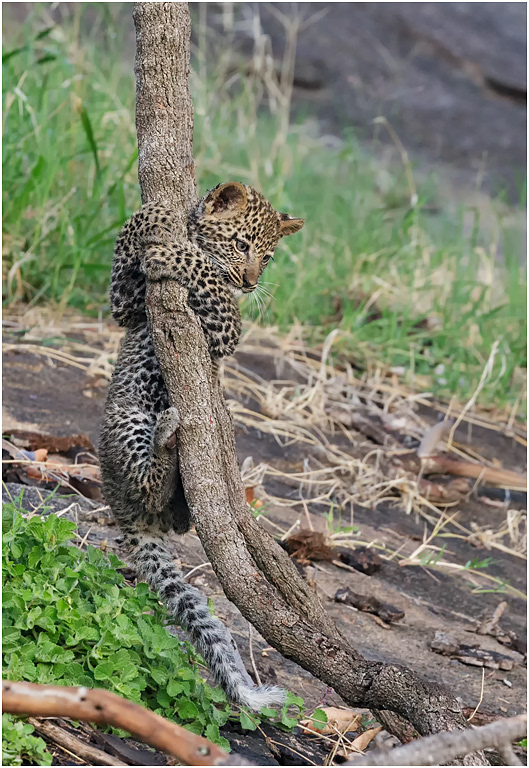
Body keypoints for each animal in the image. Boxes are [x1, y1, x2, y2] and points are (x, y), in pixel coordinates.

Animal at [99, 182, 304, 711]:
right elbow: (126, 256)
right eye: (241, 245)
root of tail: (119, 509)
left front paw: (173, 251)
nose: (251, 283)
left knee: (160, 494)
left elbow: (204, 272)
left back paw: (174, 439)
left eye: (267, 258)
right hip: (127, 419)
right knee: (155, 493)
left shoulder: (225, 326)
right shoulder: (128, 306)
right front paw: (153, 213)